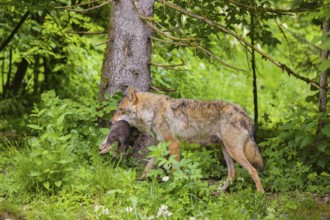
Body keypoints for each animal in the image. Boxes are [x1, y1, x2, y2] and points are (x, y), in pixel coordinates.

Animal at [111, 87, 266, 192]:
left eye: (120, 110)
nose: (110, 122)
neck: (153, 111)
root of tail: (246, 115)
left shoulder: (174, 144)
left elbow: (174, 169)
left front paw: (175, 186)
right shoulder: (159, 146)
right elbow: (147, 166)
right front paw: (140, 180)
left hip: (234, 152)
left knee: (253, 171)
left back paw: (260, 195)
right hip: (226, 151)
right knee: (232, 173)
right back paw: (220, 191)